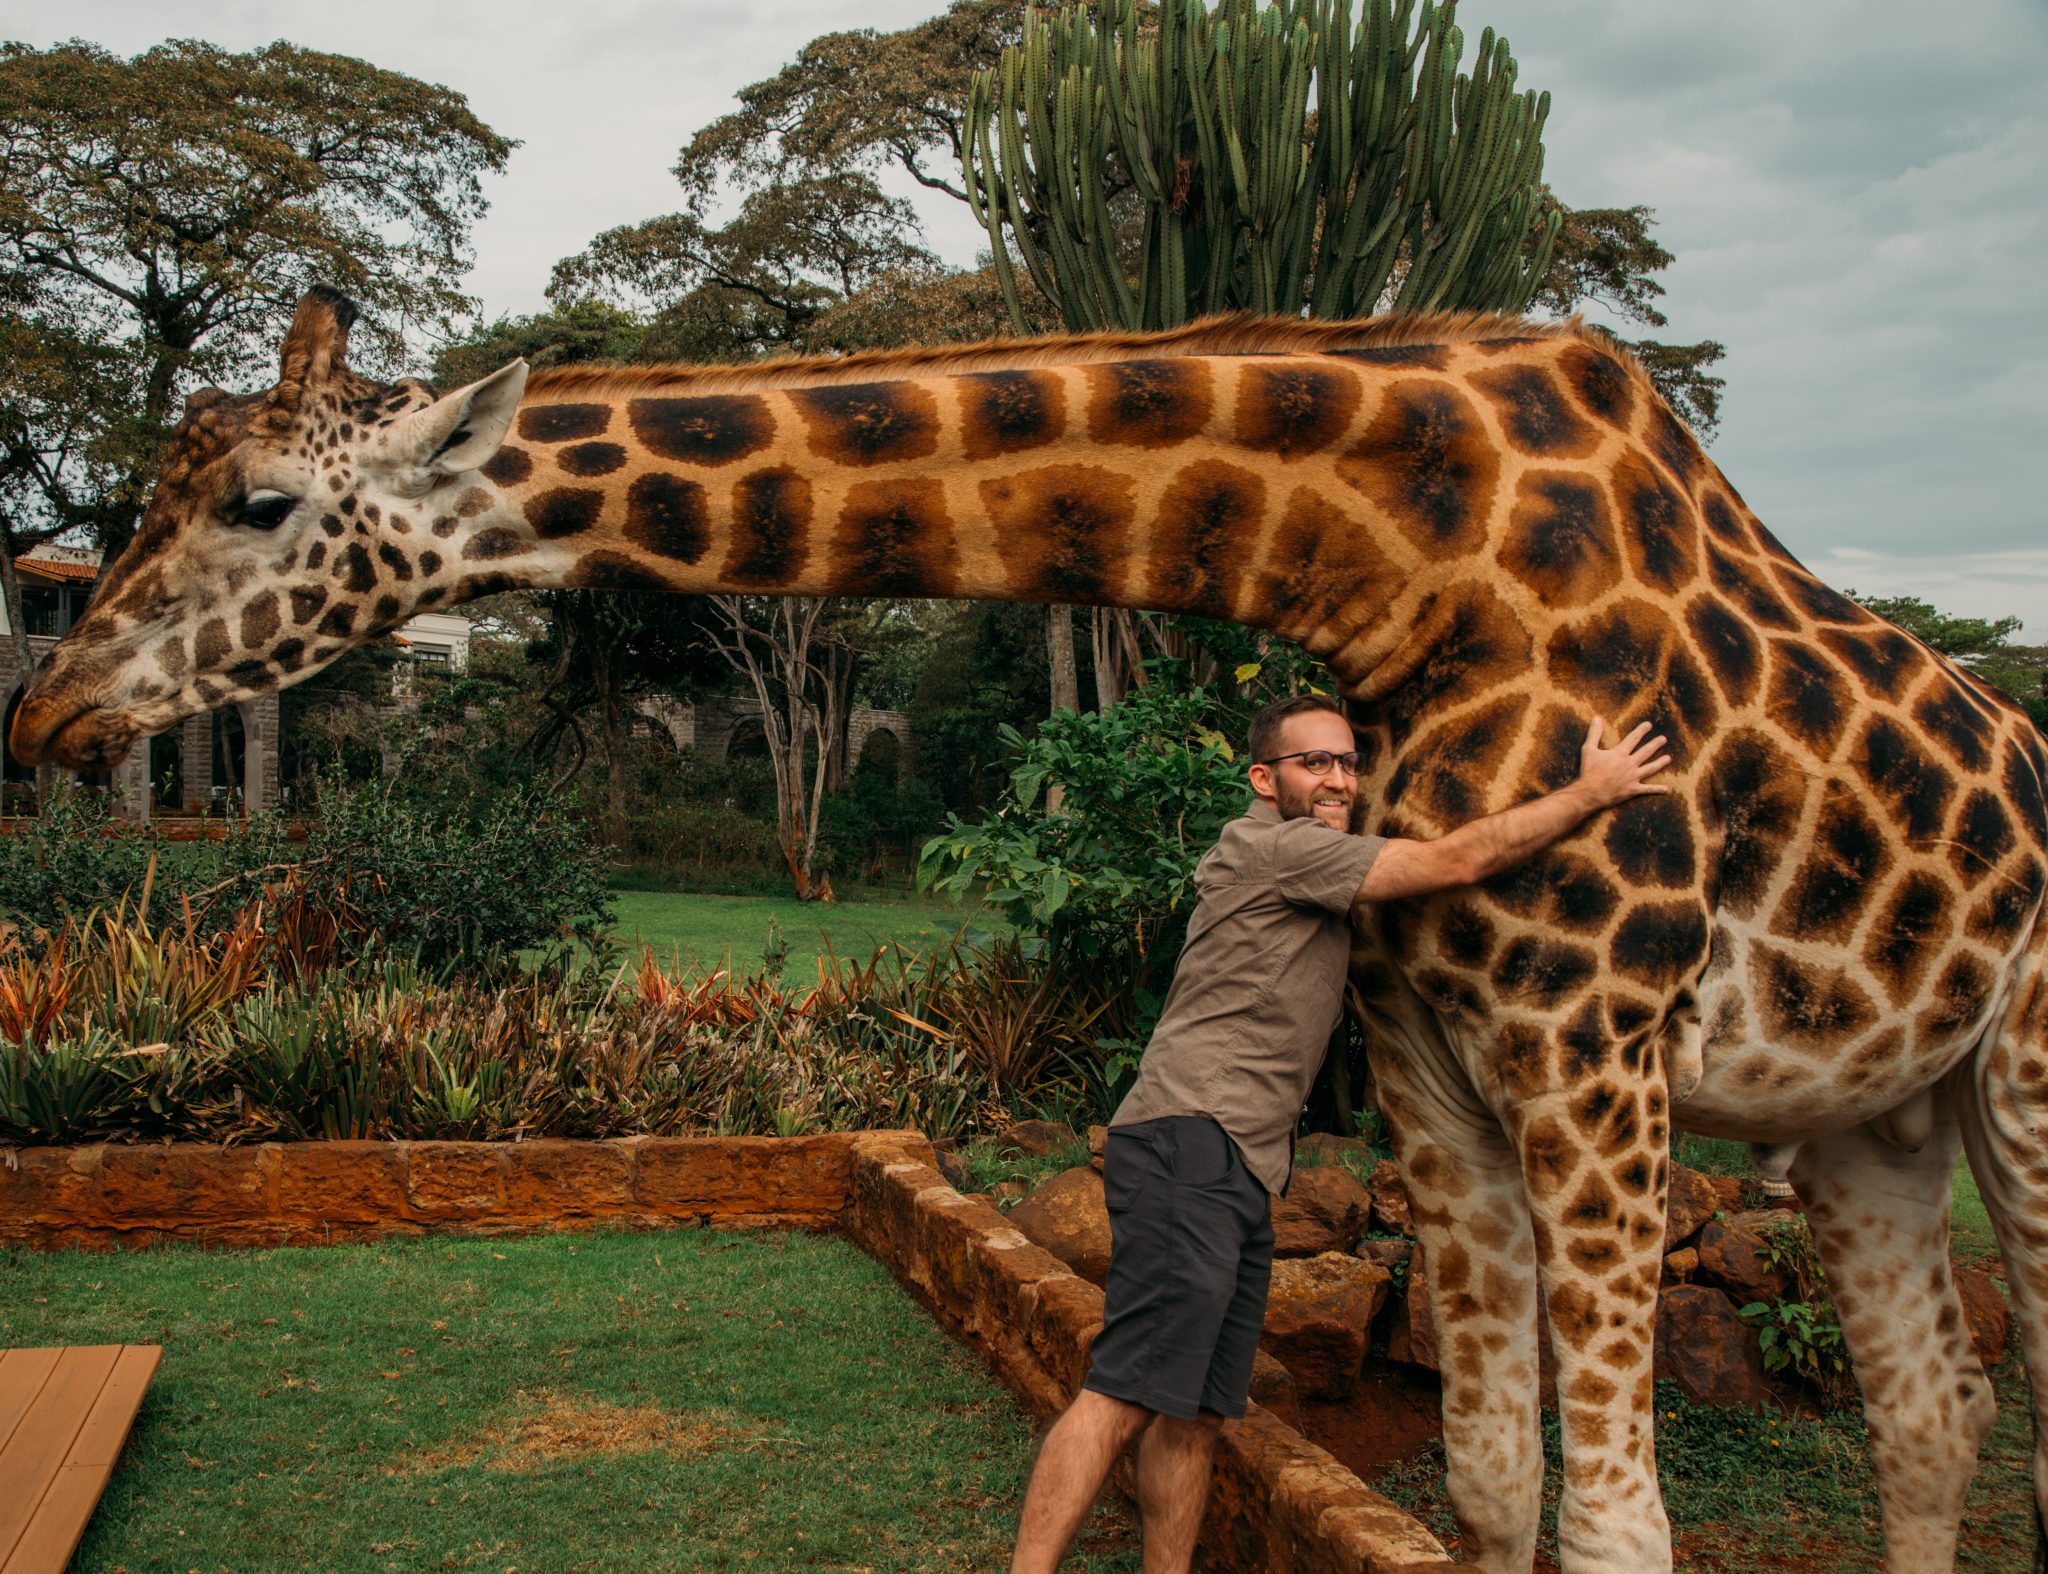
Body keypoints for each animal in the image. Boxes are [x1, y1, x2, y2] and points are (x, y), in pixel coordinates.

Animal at [8, 286, 2039, 1571]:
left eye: (260, 499)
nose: (50, 716)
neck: (1421, 568)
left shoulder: (1592, 1054)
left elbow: (1615, 1522)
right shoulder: (1434, 1068)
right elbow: (1480, 1482)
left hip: (2014, 1077)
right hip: (1868, 1111)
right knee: (1930, 1407)